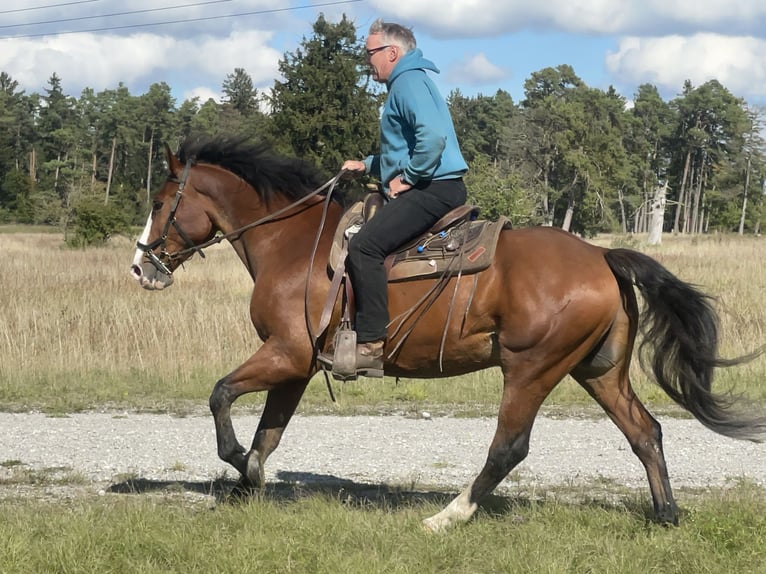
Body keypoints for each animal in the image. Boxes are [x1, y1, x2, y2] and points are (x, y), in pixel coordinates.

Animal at [130, 137, 760, 532]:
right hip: (598, 371)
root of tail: (603, 257)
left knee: (509, 448)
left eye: (160, 203)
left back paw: (448, 516)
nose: (141, 268)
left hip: (532, 368)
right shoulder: (298, 366)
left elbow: (222, 397)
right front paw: (247, 485)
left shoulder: (283, 354)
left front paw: (237, 464)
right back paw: (667, 514)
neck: (293, 246)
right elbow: (270, 432)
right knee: (645, 432)